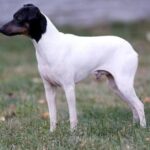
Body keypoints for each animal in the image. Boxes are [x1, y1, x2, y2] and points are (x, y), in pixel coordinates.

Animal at [0, 4, 145, 132]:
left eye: (18, 18)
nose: (1, 28)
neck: (50, 44)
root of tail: (131, 49)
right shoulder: (49, 89)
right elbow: (52, 115)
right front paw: (52, 132)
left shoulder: (69, 87)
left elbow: (72, 116)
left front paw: (72, 133)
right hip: (116, 87)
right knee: (133, 106)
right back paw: (134, 126)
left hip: (124, 85)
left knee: (139, 105)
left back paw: (142, 128)